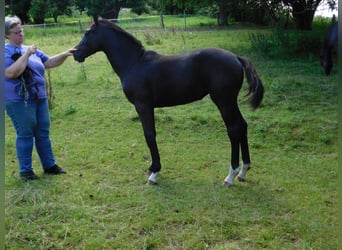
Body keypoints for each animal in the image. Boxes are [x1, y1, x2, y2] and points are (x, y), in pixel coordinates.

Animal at [73, 17, 264, 186]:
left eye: (88, 33)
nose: (75, 54)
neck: (135, 63)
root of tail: (236, 58)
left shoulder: (143, 106)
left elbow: (150, 135)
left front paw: (154, 173)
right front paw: (152, 169)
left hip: (224, 102)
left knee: (233, 129)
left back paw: (230, 176)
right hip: (231, 102)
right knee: (242, 126)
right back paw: (243, 172)